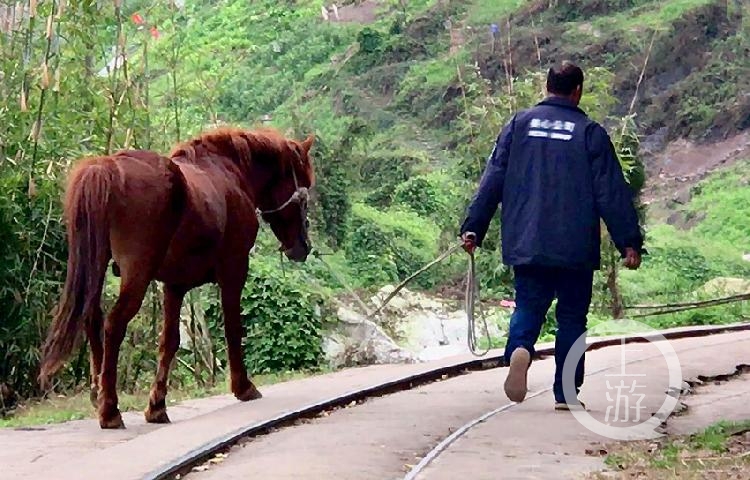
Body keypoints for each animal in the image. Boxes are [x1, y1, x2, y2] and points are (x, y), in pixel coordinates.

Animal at [37, 126, 318, 428]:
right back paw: (109, 409)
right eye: (304, 188)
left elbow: (169, 341)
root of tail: (109, 167)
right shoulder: (234, 269)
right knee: (114, 324)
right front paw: (243, 386)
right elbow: (233, 329)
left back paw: (98, 392)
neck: (228, 170)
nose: (303, 246)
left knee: (93, 319)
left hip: (96, 266)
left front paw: (157, 405)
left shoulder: (174, 284)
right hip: (137, 273)